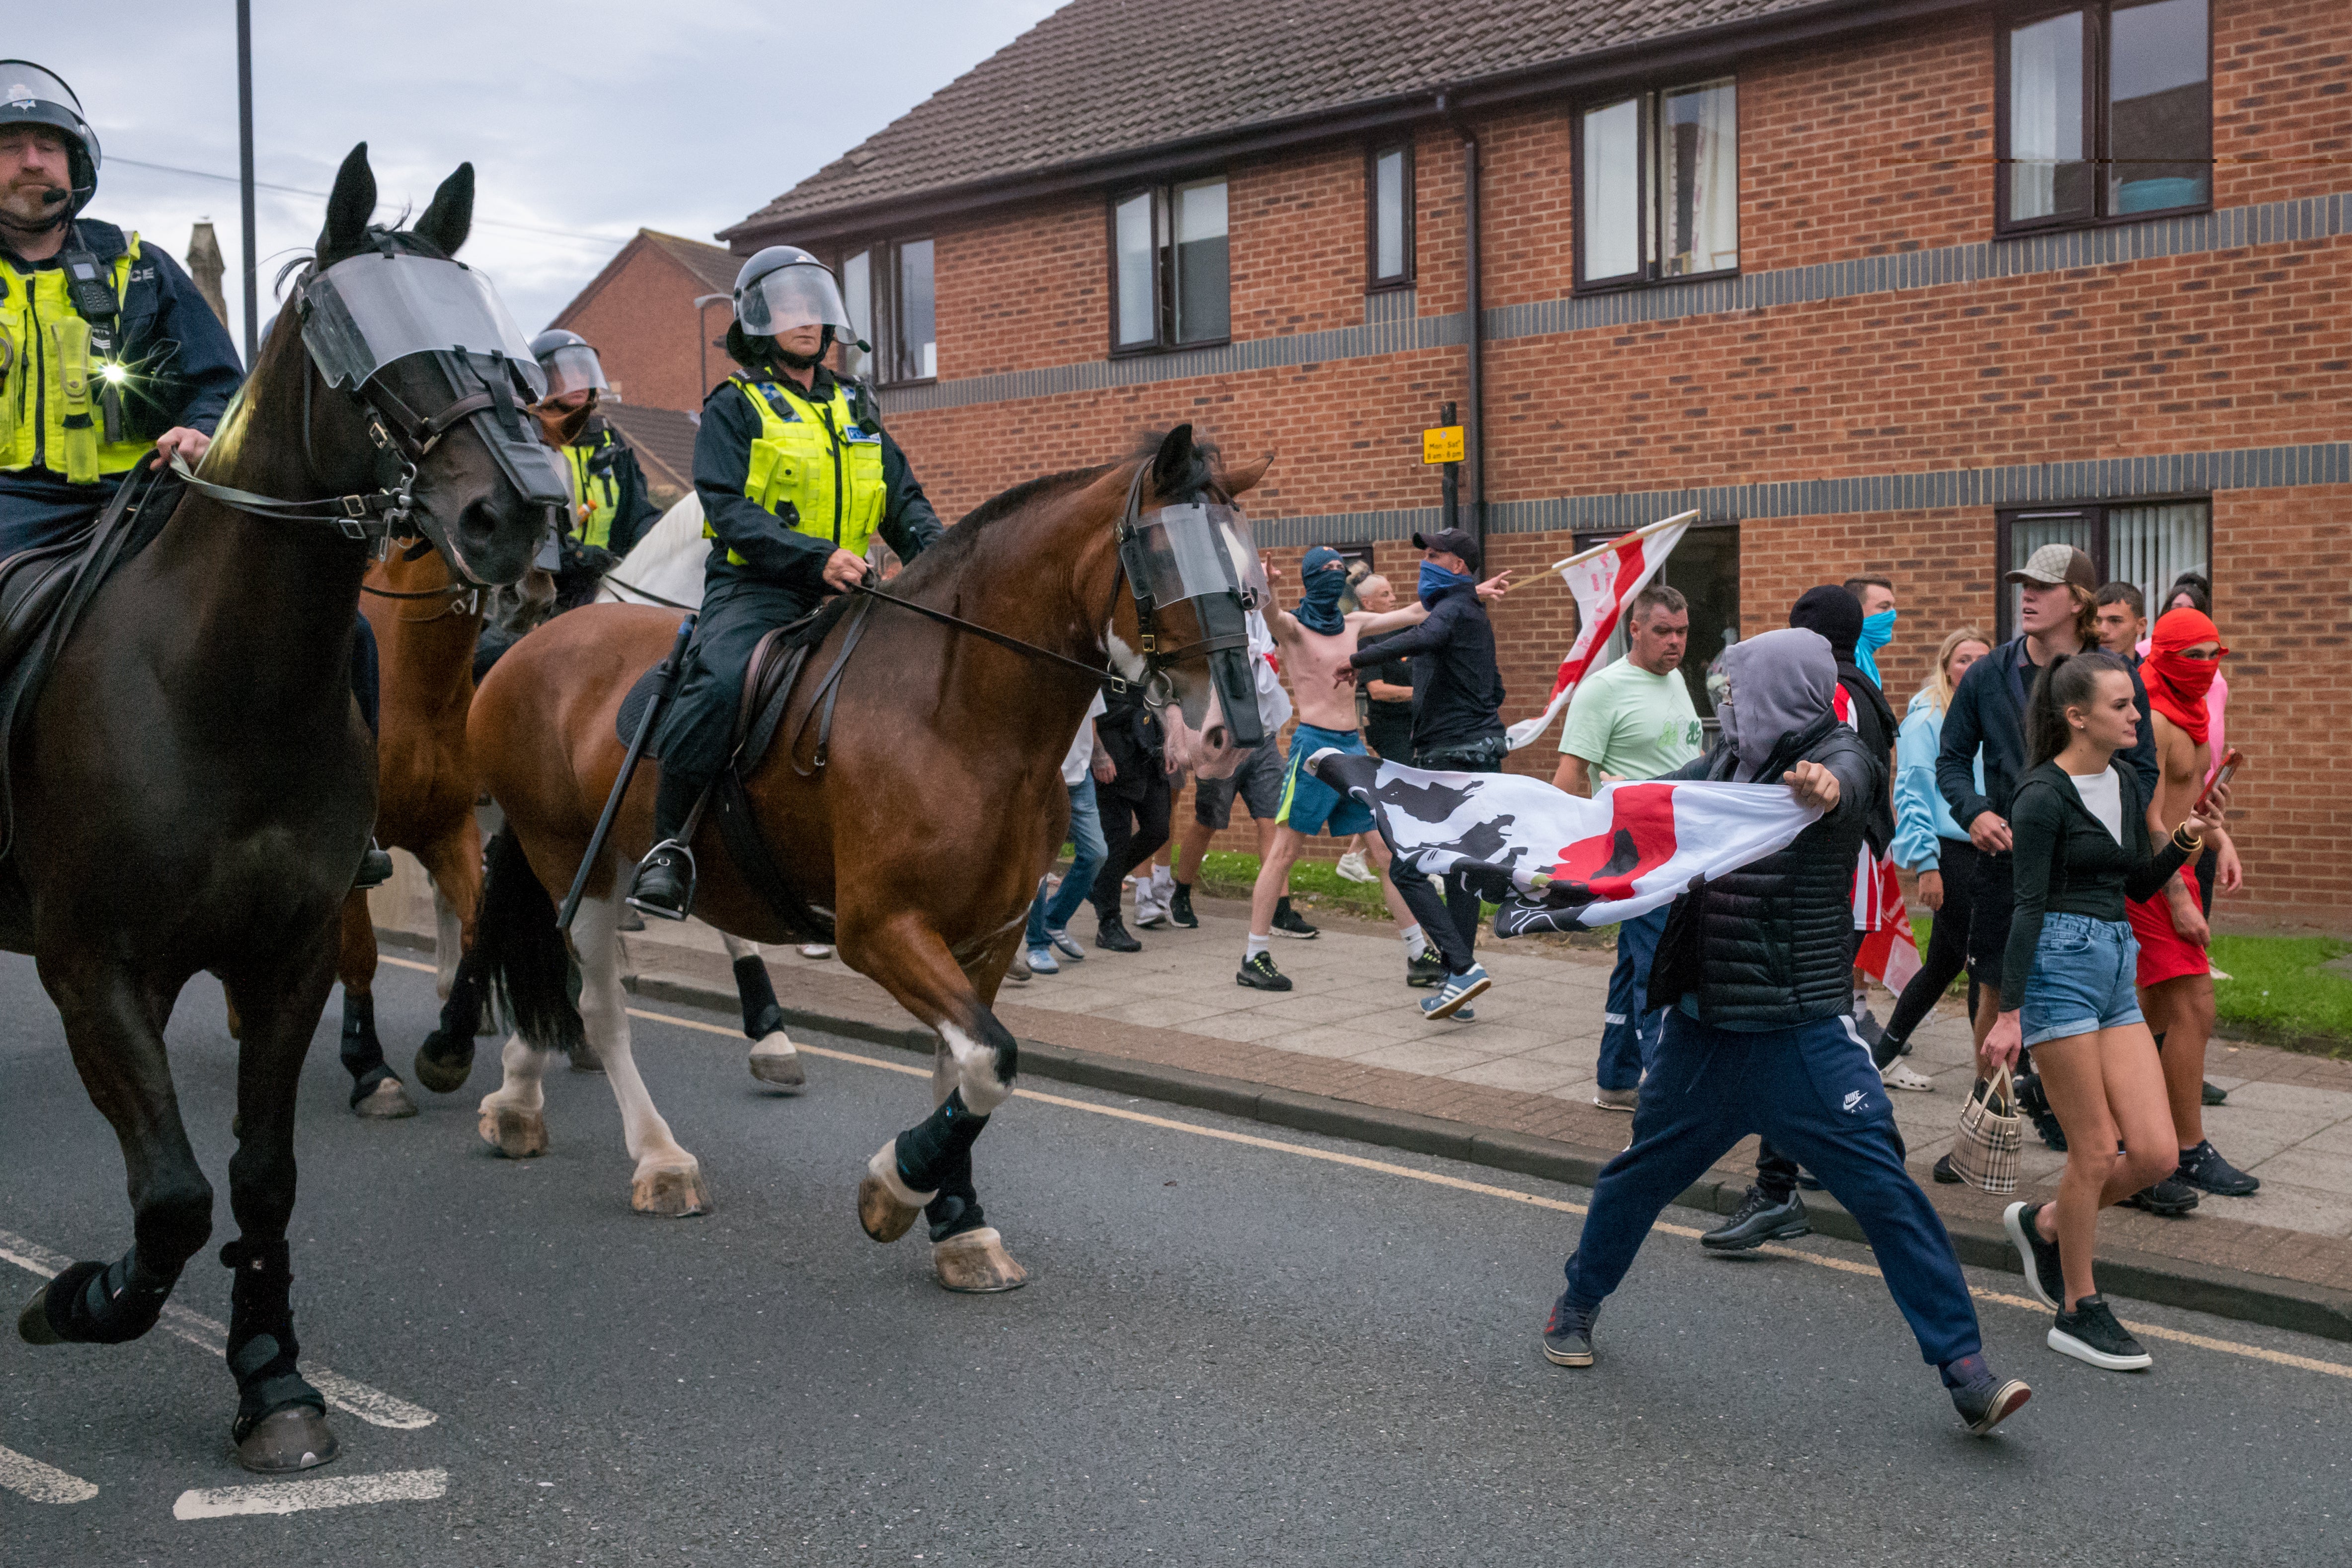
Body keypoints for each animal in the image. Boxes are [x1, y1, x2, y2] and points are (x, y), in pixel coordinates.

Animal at [6, 147, 546, 1476]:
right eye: (357, 332)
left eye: (484, 324)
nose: (521, 509)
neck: (217, 682)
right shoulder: (88, 962)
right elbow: (172, 1200)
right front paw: (80, 1298)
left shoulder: (284, 949)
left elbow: (254, 1177)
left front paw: (271, 1374)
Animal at [442, 425, 1251, 1288]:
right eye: (1167, 555)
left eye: (1248, 567)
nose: (1224, 734)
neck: (955, 715)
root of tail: (531, 646)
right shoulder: (880, 929)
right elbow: (991, 1062)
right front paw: (897, 1185)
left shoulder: (987, 937)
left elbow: (959, 1069)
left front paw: (959, 1224)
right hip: (578, 863)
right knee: (597, 1003)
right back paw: (658, 1159)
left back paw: (516, 1098)